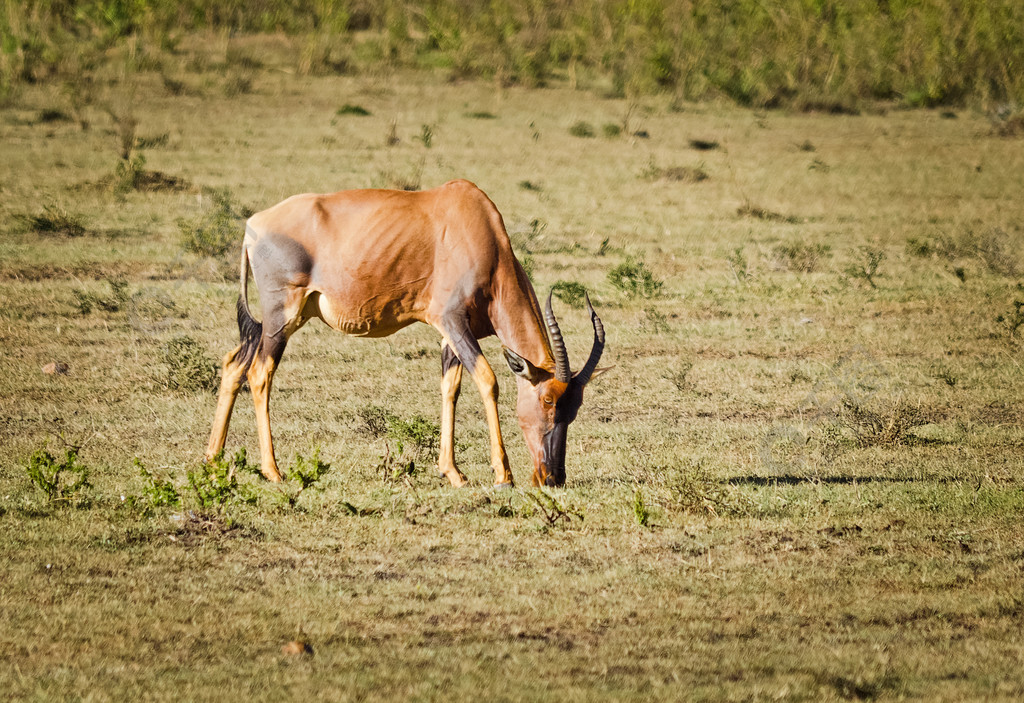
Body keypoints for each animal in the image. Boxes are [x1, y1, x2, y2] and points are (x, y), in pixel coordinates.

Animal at [208, 179, 606, 487]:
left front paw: (453, 473)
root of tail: (254, 224)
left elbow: (451, 387)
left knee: (234, 363)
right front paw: (503, 476)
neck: (476, 226)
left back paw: (213, 461)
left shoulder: (450, 334)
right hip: (282, 316)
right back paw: (273, 471)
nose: (551, 477)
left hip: (281, 320)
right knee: (260, 372)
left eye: (575, 407)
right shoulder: (452, 320)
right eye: (548, 400)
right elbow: (487, 380)